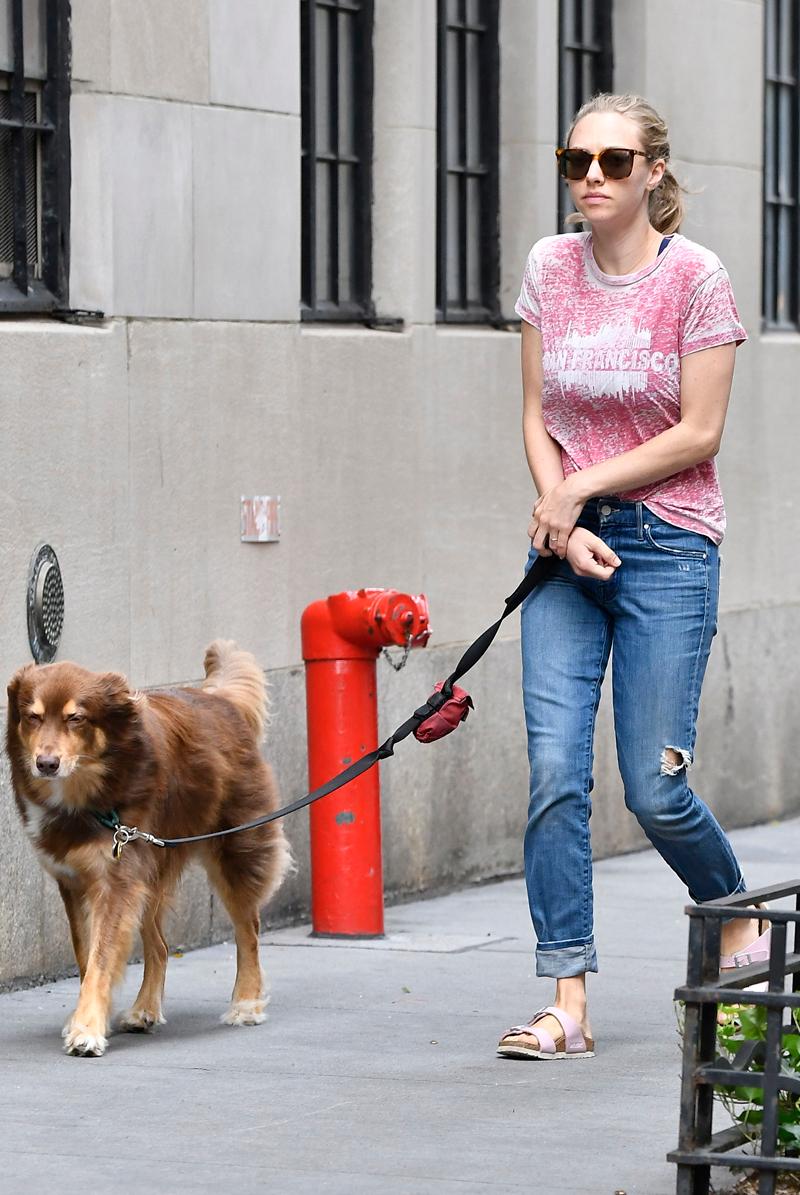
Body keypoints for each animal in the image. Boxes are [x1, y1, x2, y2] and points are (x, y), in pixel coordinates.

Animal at [4, 645, 291, 1056]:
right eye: (33, 717)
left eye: (76, 719)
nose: (46, 764)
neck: (88, 795)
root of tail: (217, 698)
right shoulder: (76, 884)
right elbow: (86, 956)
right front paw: (90, 1019)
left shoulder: (116, 883)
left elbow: (101, 959)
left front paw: (87, 1029)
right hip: (150, 875)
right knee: (160, 946)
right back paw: (145, 1010)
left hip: (233, 849)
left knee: (248, 929)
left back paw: (246, 1003)